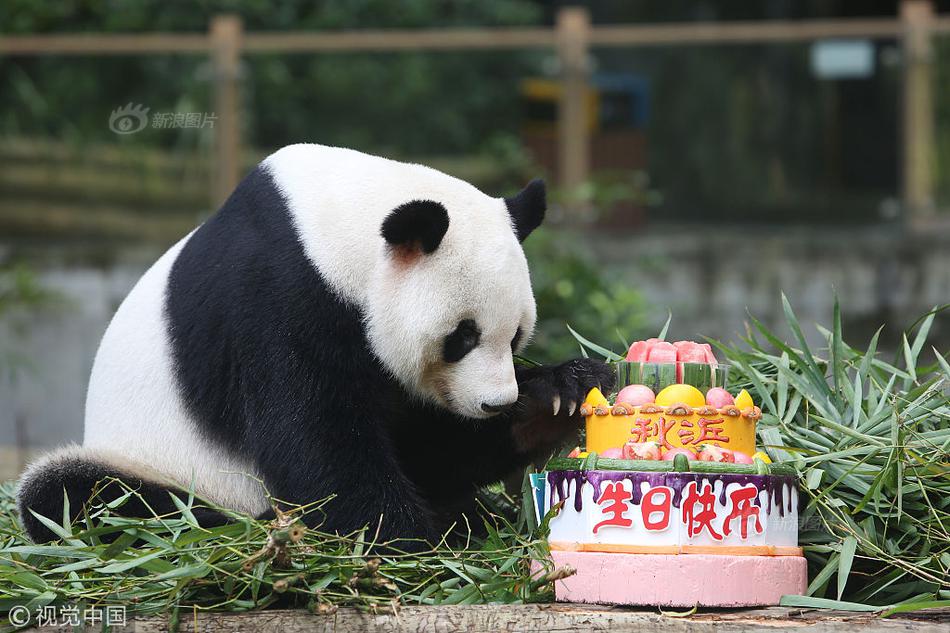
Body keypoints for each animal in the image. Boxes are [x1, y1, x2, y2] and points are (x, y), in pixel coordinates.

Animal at [16, 143, 616, 544]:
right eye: (461, 337)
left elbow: (425, 449)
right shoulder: (275, 298)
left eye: (515, 336)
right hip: (157, 465)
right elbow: (317, 443)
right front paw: (416, 539)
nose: (494, 403)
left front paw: (560, 393)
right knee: (79, 497)